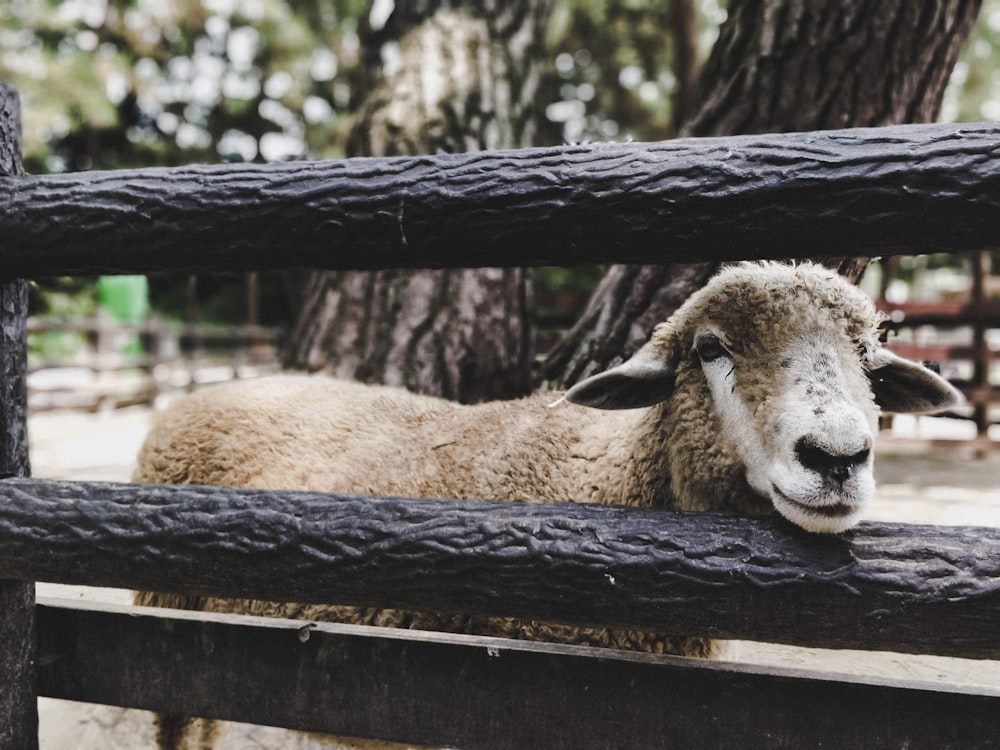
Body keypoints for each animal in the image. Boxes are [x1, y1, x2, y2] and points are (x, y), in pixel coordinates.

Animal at [133, 262, 960, 748]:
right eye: (710, 349)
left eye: (869, 360)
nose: (838, 456)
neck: (606, 480)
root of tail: (207, 392)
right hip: (167, 624)